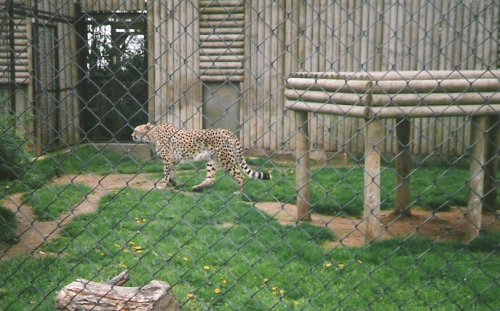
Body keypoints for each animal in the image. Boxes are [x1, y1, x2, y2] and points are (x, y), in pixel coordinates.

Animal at [131, 122, 272, 191]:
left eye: (136, 130)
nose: (131, 135)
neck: (152, 135)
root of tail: (227, 131)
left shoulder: (168, 160)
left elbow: (166, 174)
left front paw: (163, 185)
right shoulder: (174, 160)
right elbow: (171, 173)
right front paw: (173, 183)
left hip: (226, 159)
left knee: (241, 176)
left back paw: (239, 194)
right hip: (212, 160)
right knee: (211, 178)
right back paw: (198, 187)